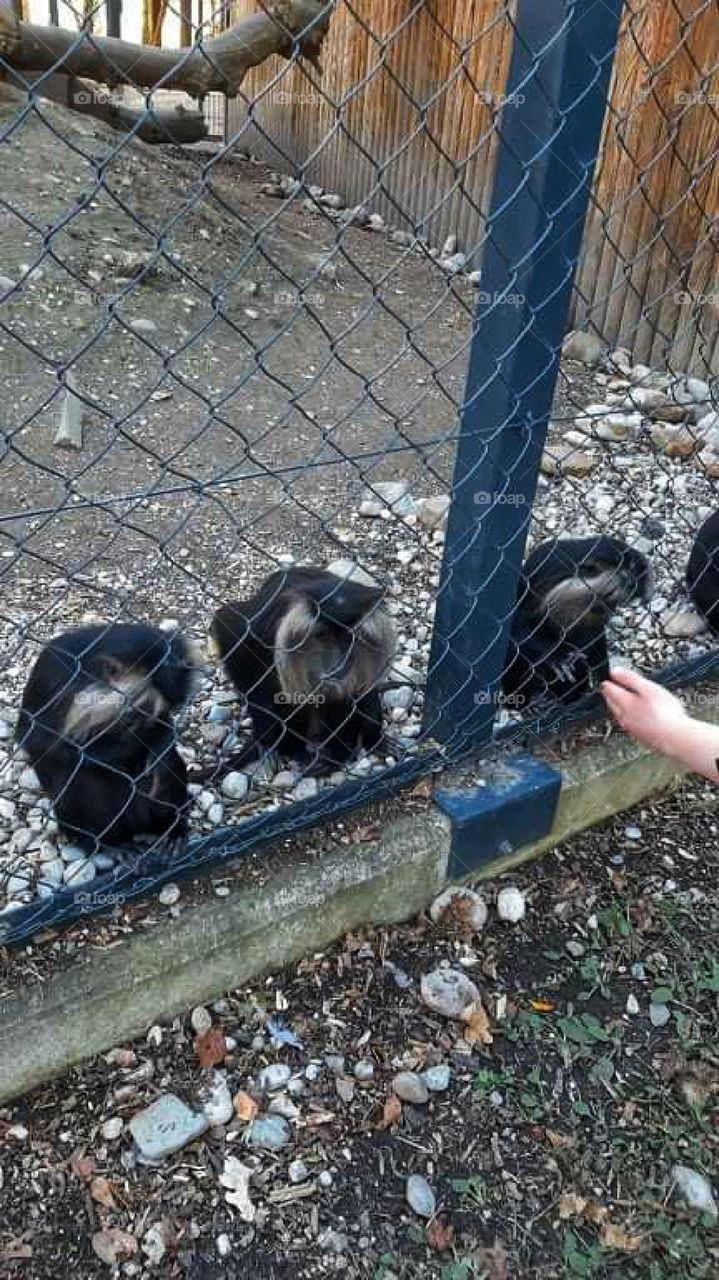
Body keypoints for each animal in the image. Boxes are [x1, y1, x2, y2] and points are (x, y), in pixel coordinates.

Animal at [16, 623, 194, 860]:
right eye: (134, 716)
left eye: (159, 713)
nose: (147, 728)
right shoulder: (51, 680)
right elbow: (37, 741)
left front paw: (159, 743)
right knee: (82, 781)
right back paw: (112, 843)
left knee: (169, 767)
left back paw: (172, 828)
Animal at [209, 566, 396, 775]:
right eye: (323, 636)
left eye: (350, 636)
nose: (339, 662)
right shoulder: (264, 621)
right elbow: (230, 629)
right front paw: (270, 736)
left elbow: (363, 688)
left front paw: (371, 735)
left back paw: (341, 752)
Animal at [501, 535, 652, 710]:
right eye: (611, 596)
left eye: (616, 603)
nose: (610, 611)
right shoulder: (541, 577)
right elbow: (515, 627)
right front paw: (557, 656)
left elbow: (590, 635)